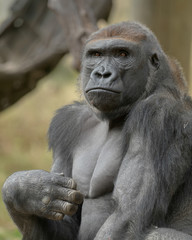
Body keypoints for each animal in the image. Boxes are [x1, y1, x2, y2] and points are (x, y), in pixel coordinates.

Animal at [2, 21, 192, 239]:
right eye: (96, 55)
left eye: (122, 54)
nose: (102, 73)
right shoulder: (68, 122)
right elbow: (66, 221)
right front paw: (25, 191)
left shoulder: (159, 114)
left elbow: (126, 217)